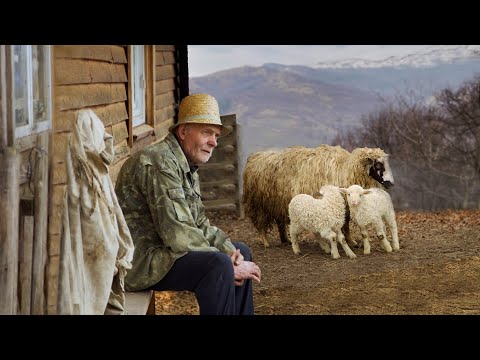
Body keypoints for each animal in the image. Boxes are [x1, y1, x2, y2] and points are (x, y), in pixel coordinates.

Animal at [242, 144, 396, 248]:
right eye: (378, 165)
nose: (391, 183)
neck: (344, 169)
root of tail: (255, 156)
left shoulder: (345, 204)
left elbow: (345, 223)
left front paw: (351, 241)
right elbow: (342, 224)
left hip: (277, 203)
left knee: (280, 222)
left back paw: (286, 240)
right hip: (259, 204)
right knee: (261, 223)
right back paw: (265, 241)